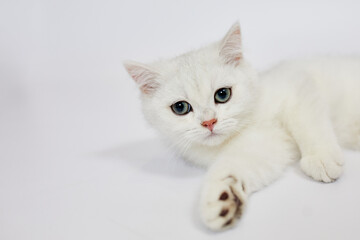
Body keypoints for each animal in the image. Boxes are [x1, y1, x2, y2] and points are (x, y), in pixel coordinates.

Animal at [124, 22, 360, 231]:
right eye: (180, 107)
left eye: (222, 94)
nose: (209, 122)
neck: (250, 121)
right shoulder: (267, 145)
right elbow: (232, 166)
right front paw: (220, 200)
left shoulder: (296, 82)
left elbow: (308, 121)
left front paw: (321, 159)